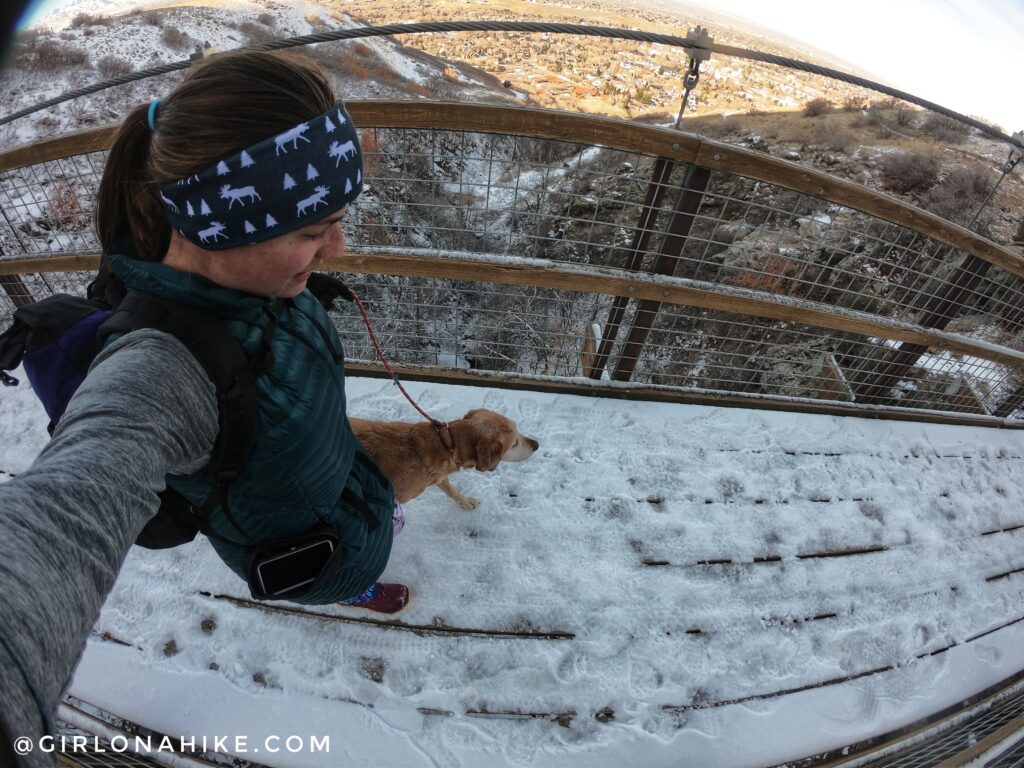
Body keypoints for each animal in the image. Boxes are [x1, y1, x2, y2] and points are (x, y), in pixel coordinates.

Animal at [352, 409, 540, 512]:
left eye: (518, 429)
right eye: (514, 443)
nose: (537, 445)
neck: (448, 442)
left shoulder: (439, 475)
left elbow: (451, 489)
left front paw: (465, 501)